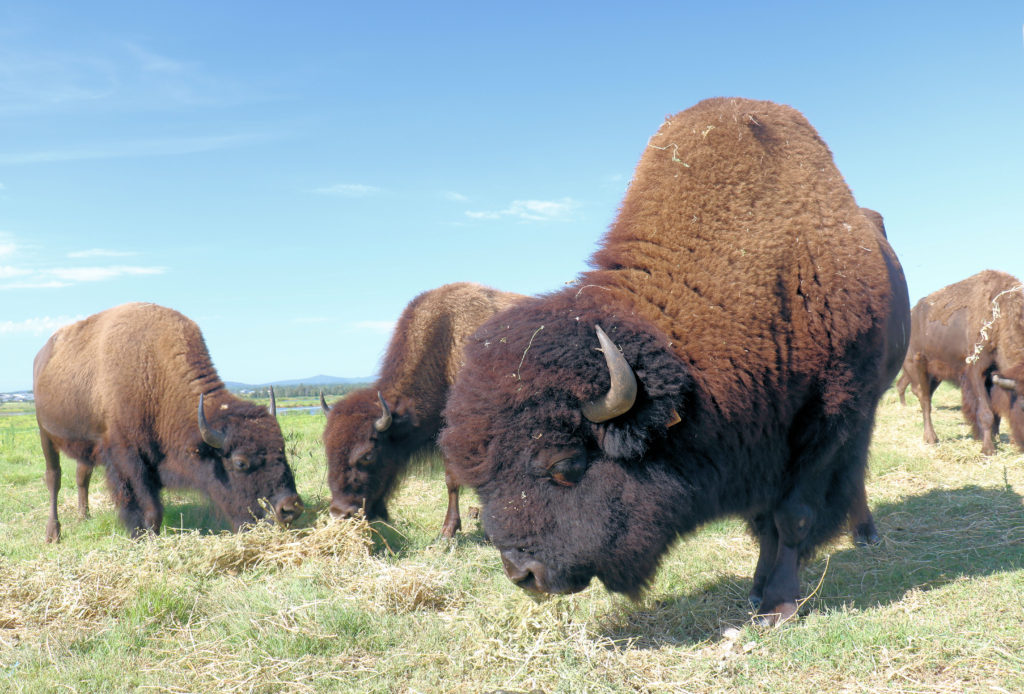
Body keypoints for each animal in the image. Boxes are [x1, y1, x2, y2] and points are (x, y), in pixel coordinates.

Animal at [319, 282, 524, 536]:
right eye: (328, 451)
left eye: (367, 455)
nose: (340, 513)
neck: (446, 347)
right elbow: (452, 480)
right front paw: (449, 530)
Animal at [440, 97, 913, 626]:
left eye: (565, 465)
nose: (523, 575)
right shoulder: (758, 446)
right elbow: (764, 521)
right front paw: (756, 590)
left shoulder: (828, 419)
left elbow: (793, 515)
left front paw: (778, 605)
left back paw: (865, 533)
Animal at [897, 270, 1024, 456]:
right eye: (1023, 406)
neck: (999, 316)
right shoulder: (977, 373)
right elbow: (986, 413)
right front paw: (988, 449)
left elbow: (996, 414)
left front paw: (995, 439)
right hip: (917, 366)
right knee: (924, 399)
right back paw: (931, 438)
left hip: (936, 376)